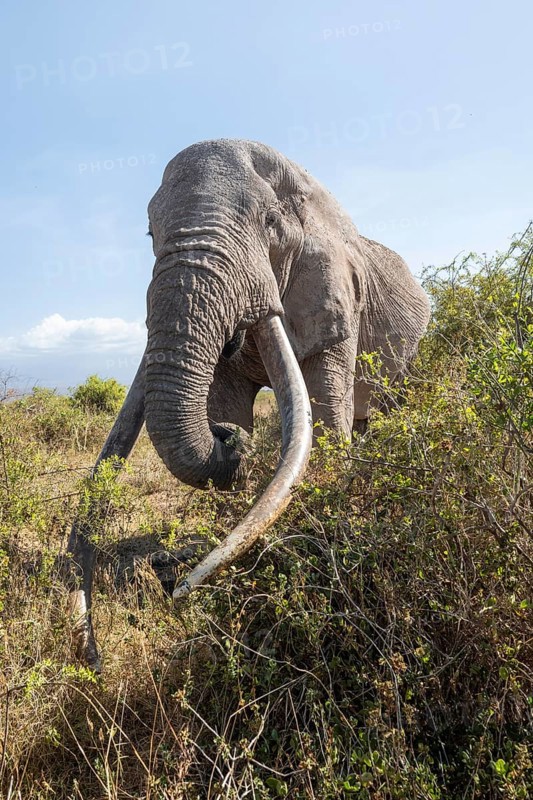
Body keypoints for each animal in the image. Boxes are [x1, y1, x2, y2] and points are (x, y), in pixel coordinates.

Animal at [65, 139, 430, 670]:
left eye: (270, 222)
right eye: (151, 231)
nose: (93, 658)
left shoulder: (335, 295)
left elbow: (323, 411)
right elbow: (225, 400)